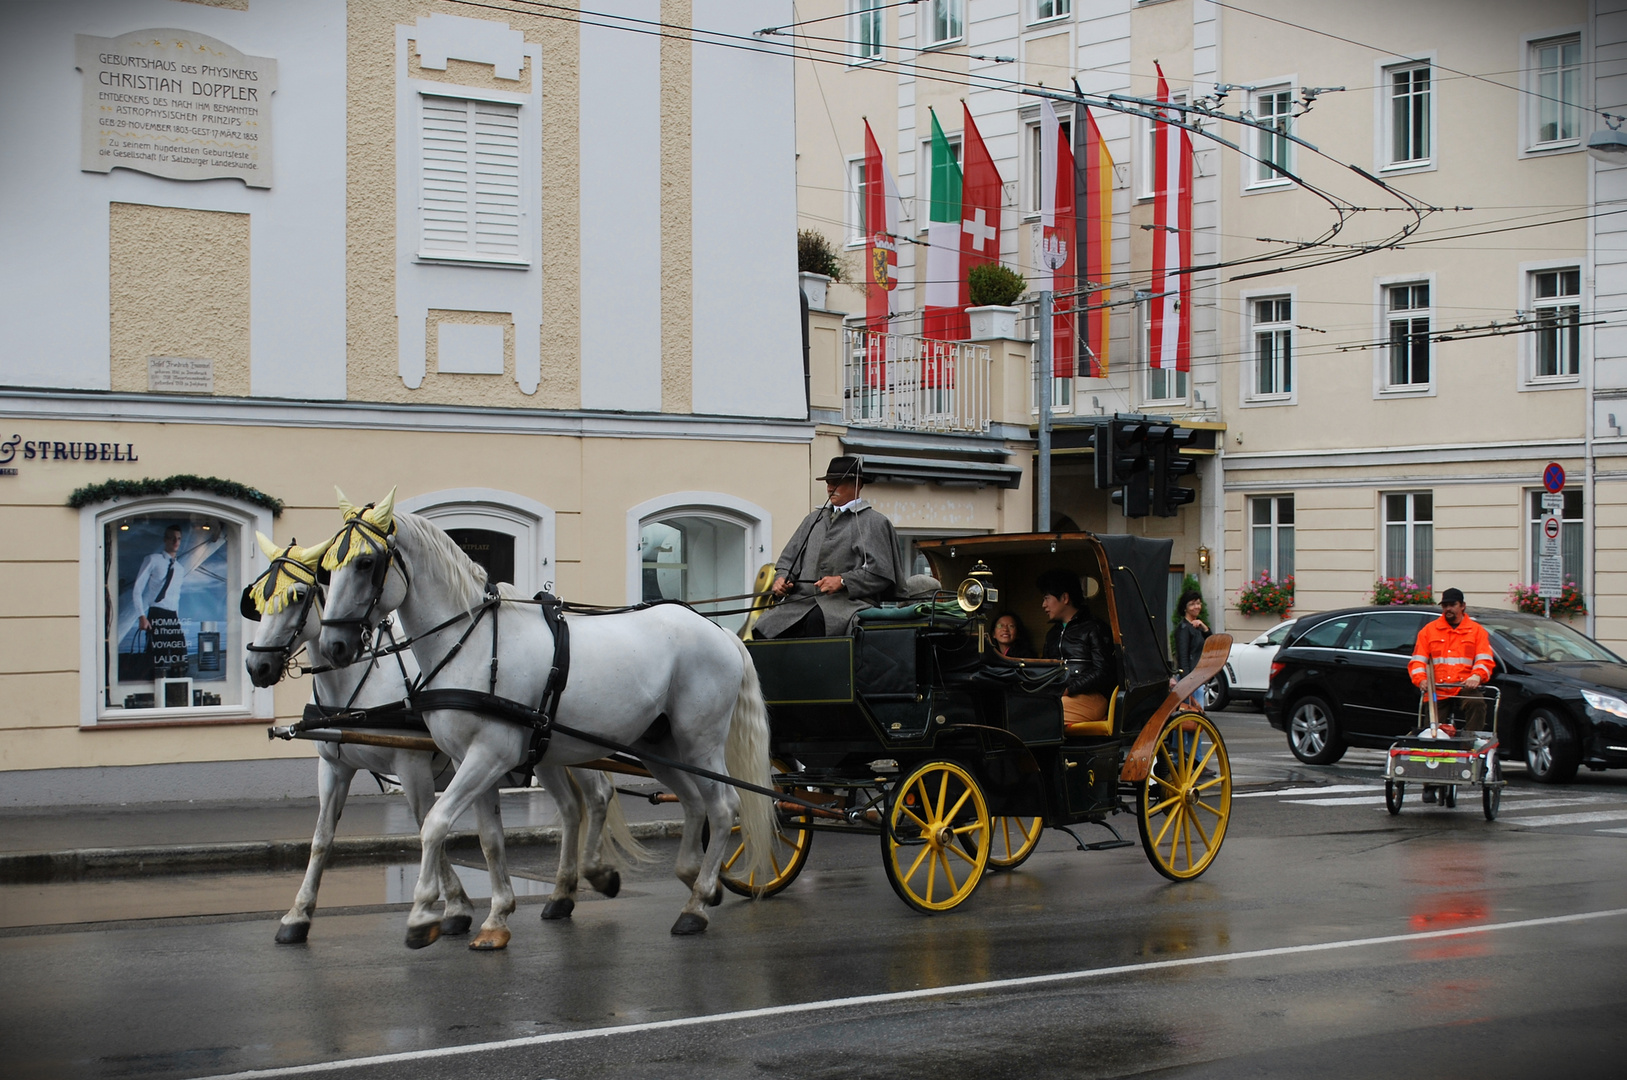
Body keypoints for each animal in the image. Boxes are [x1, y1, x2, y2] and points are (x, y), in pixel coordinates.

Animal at [247, 530, 641, 943]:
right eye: (256, 597)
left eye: (298, 596)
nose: (257, 665)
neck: (360, 683)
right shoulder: (334, 766)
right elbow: (322, 838)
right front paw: (298, 914)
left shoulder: (411, 763)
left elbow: (426, 821)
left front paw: (453, 906)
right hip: (544, 753)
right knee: (569, 808)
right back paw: (562, 894)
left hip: (577, 747)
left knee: (597, 796)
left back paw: (593, 875)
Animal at [320, 494, 777, 949]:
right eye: (327, 567)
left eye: (365, 563)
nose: (333, 646)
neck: (474, 644)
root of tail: (718, 630)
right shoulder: (473, 760)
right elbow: (490, 839)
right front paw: (496, 917)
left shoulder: (489, 755)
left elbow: (434, 823)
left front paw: (421, 915)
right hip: (658, 747)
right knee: (694, 801)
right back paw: (693, 878)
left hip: (700, 741)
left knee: (724, 806)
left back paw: (696, 904)